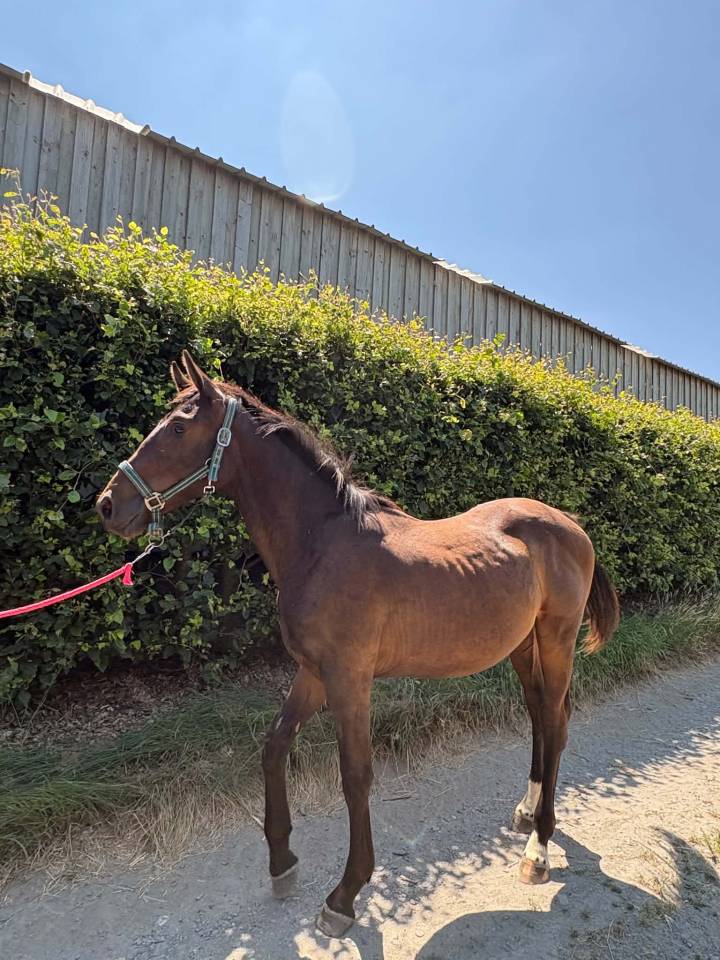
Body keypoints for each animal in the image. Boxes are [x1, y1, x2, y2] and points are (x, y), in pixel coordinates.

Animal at [97, 351, 620, 938]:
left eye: (179, 428)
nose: (108, 505)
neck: (324, 544)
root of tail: (570, 524)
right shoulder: (313, 672)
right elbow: (274, 746)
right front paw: (282, 861)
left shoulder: (350, 679)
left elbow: (355, 775)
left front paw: (345, 895)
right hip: (521, 646)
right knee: (541, 718)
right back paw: (527, 813)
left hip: (555, 640)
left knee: (554, 719)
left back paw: (539, 848)